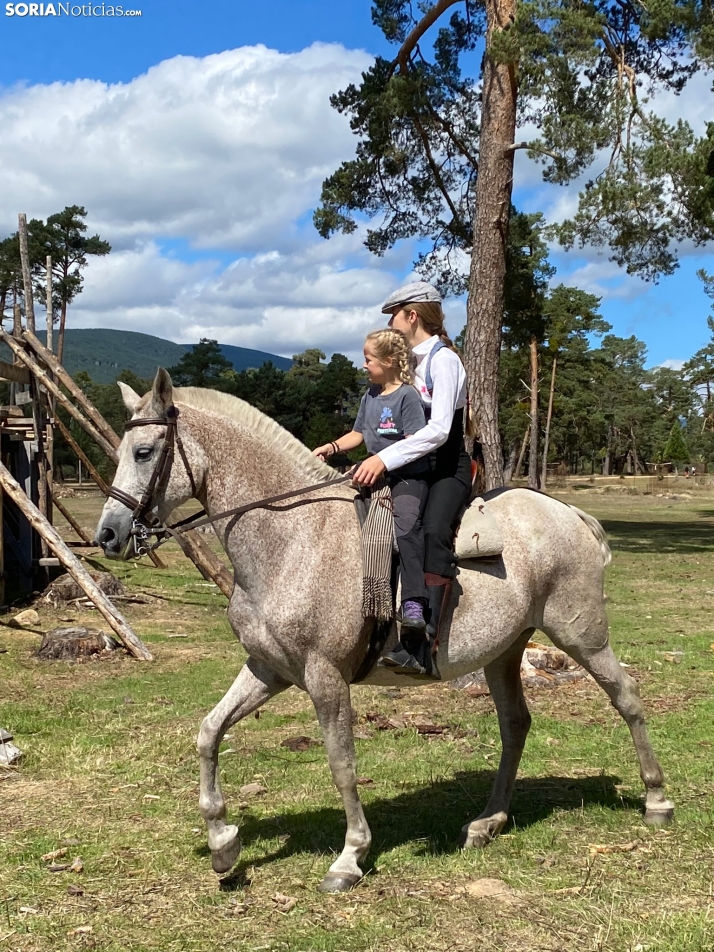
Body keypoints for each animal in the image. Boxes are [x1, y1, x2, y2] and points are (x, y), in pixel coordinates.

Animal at [96, 372, 672, 892]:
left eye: (144, 452)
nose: (108, 535)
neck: (294, 539)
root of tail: (567, 512)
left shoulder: (325, 678)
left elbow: (341, 764)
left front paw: (350, 857)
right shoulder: (269, 669)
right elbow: (209, 733)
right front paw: (222, 844)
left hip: (581, 633)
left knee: (626, 696)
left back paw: (656, 800)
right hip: (506, 650)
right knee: (515, 725)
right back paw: (488, 822)